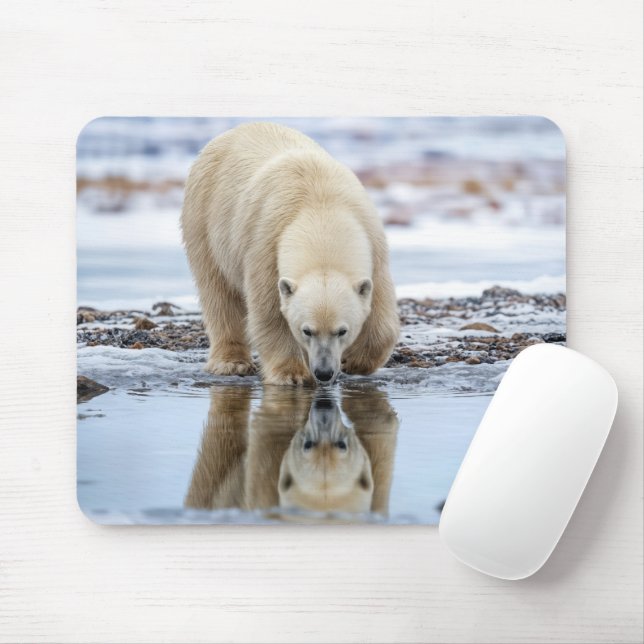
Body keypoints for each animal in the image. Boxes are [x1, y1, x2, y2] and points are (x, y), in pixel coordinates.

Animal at [181, 122, 399, 385]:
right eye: (307, 330)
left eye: (342, 331)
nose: (324, 372)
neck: (321, 209)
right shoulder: (264, 247)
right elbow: (270, 314)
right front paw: (291, 374)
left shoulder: (374, 246)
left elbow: (380, 313)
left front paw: (356, 361)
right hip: (204, 219)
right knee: (218, 293)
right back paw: (231, 363)